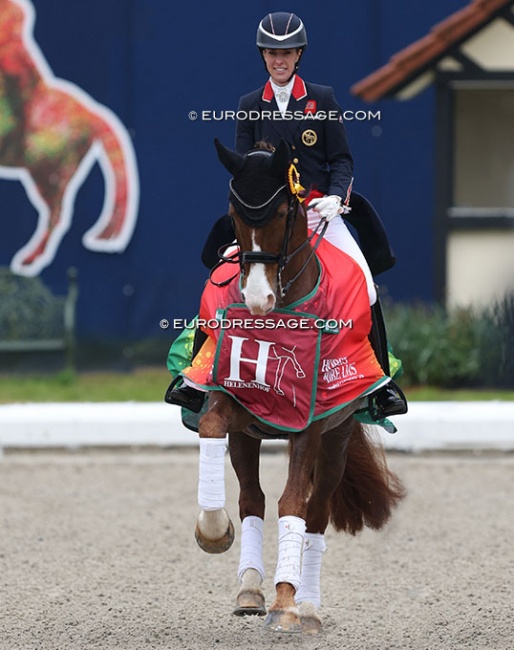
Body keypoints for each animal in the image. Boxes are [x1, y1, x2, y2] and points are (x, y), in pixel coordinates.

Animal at [188, 138, 404, 632]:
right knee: (252, 498)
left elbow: (293, 504)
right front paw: (213, 531)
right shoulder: (232, 401)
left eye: (286, 212)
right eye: (233, 212)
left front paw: (286, 604)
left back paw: (306, 606)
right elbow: (211, 430)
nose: (256, 299)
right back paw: (250, 590)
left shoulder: (311, 423)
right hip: (249, 435)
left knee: (316, 510)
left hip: (336, 436)